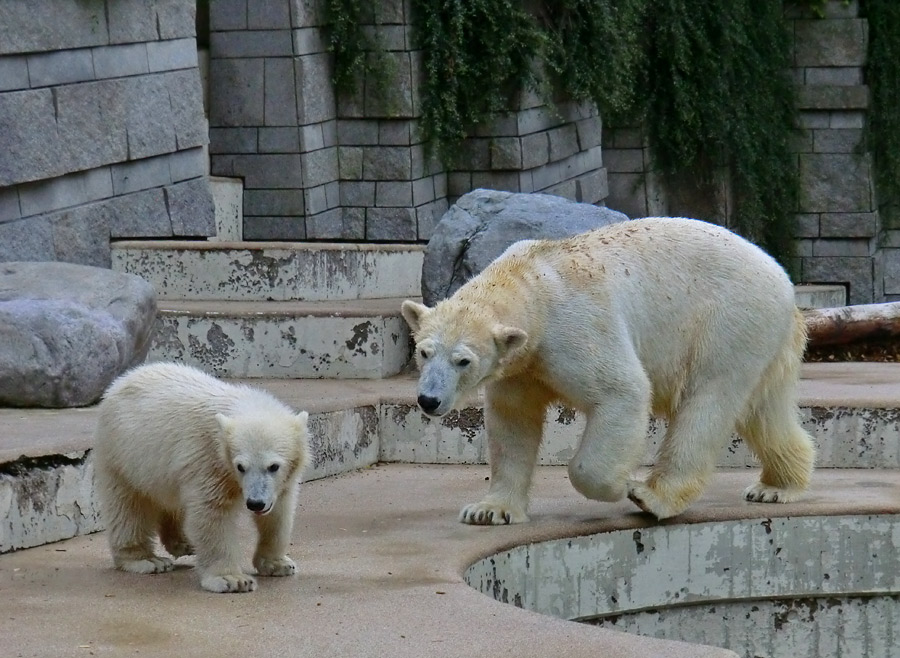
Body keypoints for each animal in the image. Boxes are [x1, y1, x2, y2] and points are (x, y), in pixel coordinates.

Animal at [400, 218, 816, 520]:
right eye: (424, 351)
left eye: (463, 360)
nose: (429, 400)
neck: (531, 281)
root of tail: (784, 280)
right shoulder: (521, 366)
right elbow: (512, 422)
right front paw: (489, 510)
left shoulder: (573, 329)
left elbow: (622, 391)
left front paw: (619, 485)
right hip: (764, 339)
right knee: (763, 409)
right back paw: (776, 487)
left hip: (729, 318)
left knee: (707, 401)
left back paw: (653, 495)